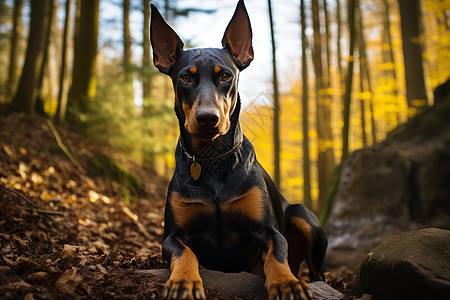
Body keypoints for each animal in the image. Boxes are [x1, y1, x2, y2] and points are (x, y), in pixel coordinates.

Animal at [150, 1, 326, 298]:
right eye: (185, 77)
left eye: (226, 76)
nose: (207, 118)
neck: (212, 160)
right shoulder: (171, 236)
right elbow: (185, 253)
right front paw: (184, 280)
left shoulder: (269, 230)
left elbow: (276, 255)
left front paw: (286, 282)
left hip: (303, 216)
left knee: (316, 271)